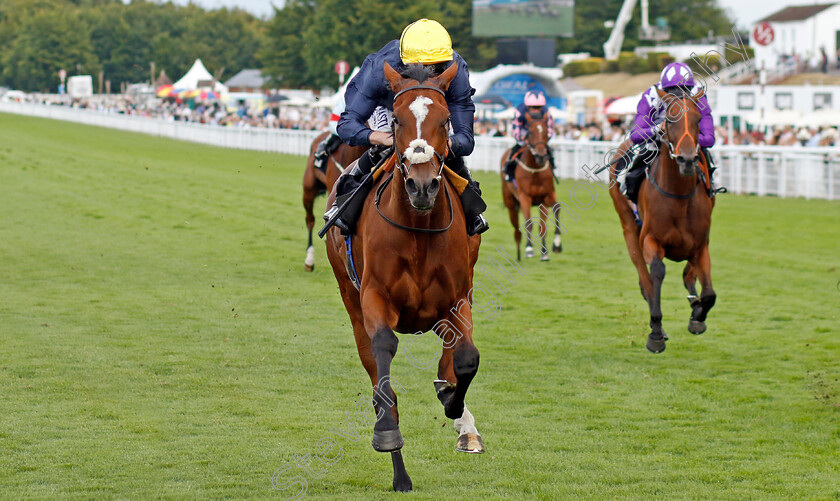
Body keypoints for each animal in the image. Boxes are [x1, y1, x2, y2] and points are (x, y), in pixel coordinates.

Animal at [324, 60, 482, 490]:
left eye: (445, 121)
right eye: (395, 120)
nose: (422, 186)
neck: (418, 230)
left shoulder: (457, 298)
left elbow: (466, 358)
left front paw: (455, 408)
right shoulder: (375, 297)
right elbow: (383, 356)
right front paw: (387, 435)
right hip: (349, 297)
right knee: (373, 365)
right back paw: (400, 471)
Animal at [502, 111, 560, 260]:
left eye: (546, 132)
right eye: (530, 132)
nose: (541, 156)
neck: (534, 170)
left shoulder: (546, 196)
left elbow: (548, 219)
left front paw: (552, 248)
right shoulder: (524, 197)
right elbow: (528, 223)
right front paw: (529, 249)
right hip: (511, 204)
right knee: (516, 230)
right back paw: (518, 255)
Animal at [608, 86, 720, 352]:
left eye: (698, 120)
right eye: (670, 120)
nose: (687, 160)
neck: (678, 196)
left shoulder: (701, 245)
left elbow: (709, 294)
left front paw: (697, 316)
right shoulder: (650, 239)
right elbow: (656, 273)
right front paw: (656, 332)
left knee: (688, 276)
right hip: (629, 228)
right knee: (645, 279)